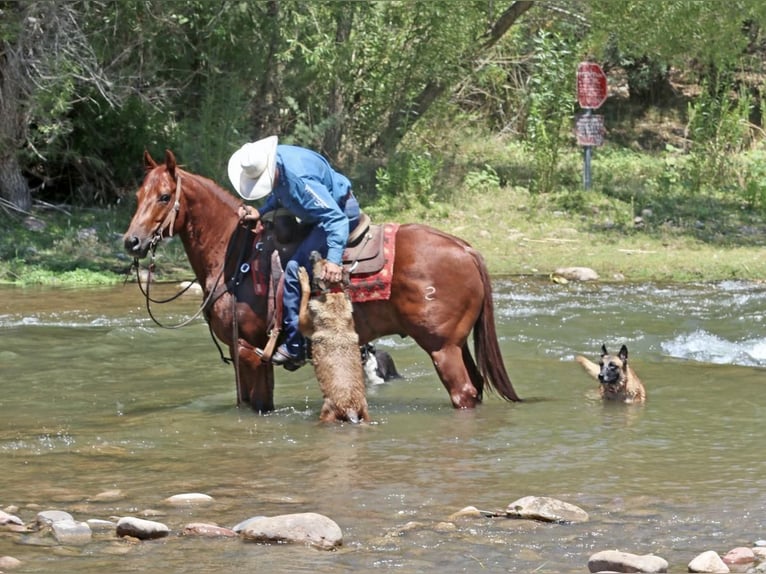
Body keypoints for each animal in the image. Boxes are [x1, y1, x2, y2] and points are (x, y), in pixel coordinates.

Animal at [298, 254, 370, 426]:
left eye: (319, 263)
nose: (313, 252)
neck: (334, 293)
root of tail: (351, 409)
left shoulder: (303, 323)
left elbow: (306, 294)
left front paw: (303, 278)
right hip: (366, 413)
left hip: (326, 414)